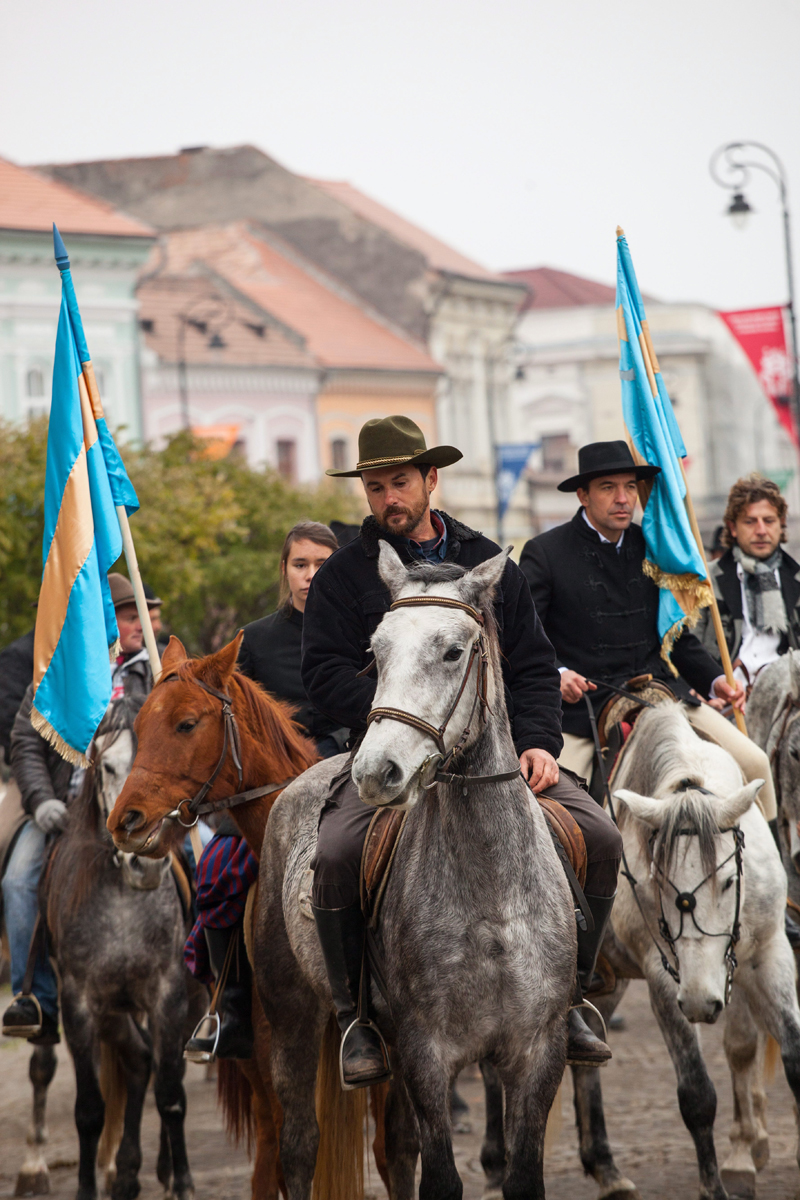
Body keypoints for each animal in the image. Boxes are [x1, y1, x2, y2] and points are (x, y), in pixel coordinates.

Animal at [606, 700, 800, 1200]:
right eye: (658, 882)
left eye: (729, 881)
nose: (700, 1001)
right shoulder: (661, 977)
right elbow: (696, 1094)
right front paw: (717, 1184)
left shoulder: (768, 953)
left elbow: (794, 1058)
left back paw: (606, 1174)